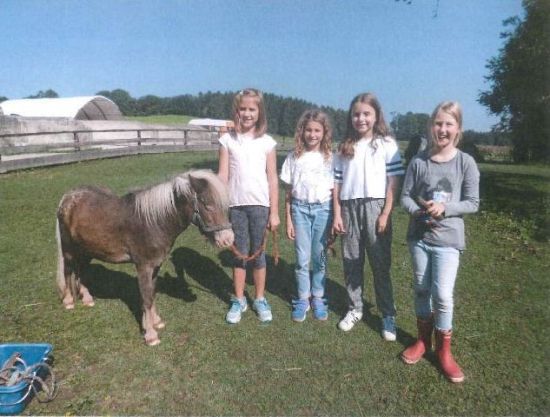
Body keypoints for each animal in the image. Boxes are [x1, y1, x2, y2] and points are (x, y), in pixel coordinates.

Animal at [56, 169, 235, 344]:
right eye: (206, 204)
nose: (227, 239)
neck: (154, 222)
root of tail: (68, 197)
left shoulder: (155, 266)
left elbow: (152, 293)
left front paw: (155, 321)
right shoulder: (144, 267)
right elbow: (147, 297)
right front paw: (150, 334)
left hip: (87, 250)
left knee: (80, 270)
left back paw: (86, 298)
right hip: (69, 249)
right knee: (68, 270)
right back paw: (69, 301)